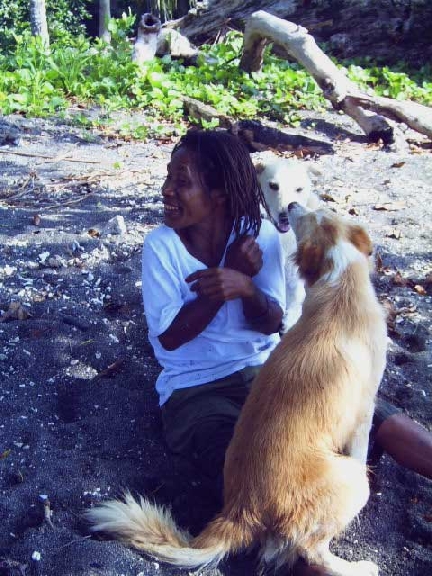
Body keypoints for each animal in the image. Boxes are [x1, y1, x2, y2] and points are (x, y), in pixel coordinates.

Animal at [85, 204, 387, 576]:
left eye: (316, 214)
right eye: (307, 218)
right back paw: (357, 567)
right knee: (309, 549)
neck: (342, 282)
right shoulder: (364, 413)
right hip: (353, 480)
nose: (291, 206)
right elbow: (361, 443)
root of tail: (241, 508)